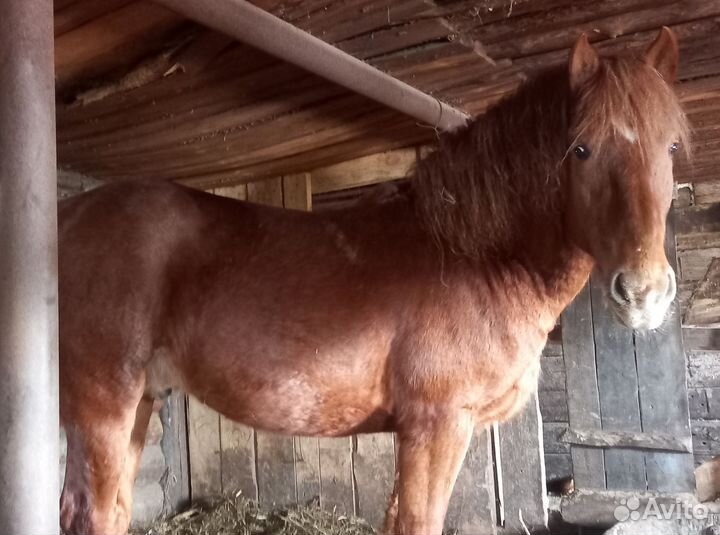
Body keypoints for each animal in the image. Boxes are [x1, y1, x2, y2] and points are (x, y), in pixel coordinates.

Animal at [58, 27, 687, 534]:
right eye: (581, 149)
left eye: (672, 146)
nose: (644, 293)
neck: (473, 257)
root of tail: (72, 213)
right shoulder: (437, 426)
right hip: (104, 405)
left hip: (142, 401)